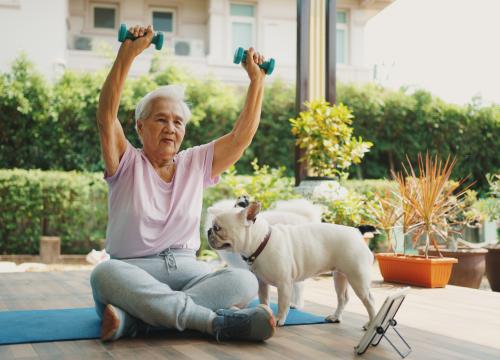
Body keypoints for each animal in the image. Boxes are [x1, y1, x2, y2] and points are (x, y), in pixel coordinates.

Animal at [207, 201, 376, 328]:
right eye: (213, 227)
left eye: (218, 228)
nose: (209, 231)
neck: (260, 242)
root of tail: (356, 232)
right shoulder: (262, 283)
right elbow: (264, 300)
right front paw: (265, 312)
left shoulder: (284, 284)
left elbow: (282, 304)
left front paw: (278, 319)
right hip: (340, 276)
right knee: (343, 298)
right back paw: (336, 317)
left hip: (358, 277)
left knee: (370, 301)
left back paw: (371, 324)